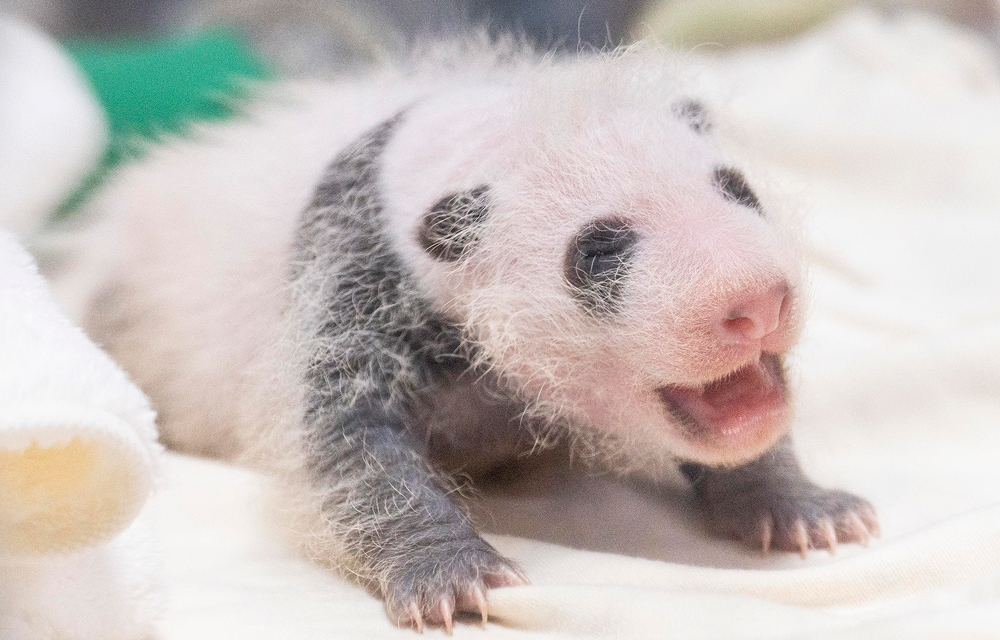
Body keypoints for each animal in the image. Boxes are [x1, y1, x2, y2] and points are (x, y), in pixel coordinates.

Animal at [55, 39, 878, 632]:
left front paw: (799, 507)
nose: (757, 302)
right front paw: (452, 574)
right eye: (599, 252)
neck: (473, 138)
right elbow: (347, 443)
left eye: (740, 190)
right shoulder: (354, 275)